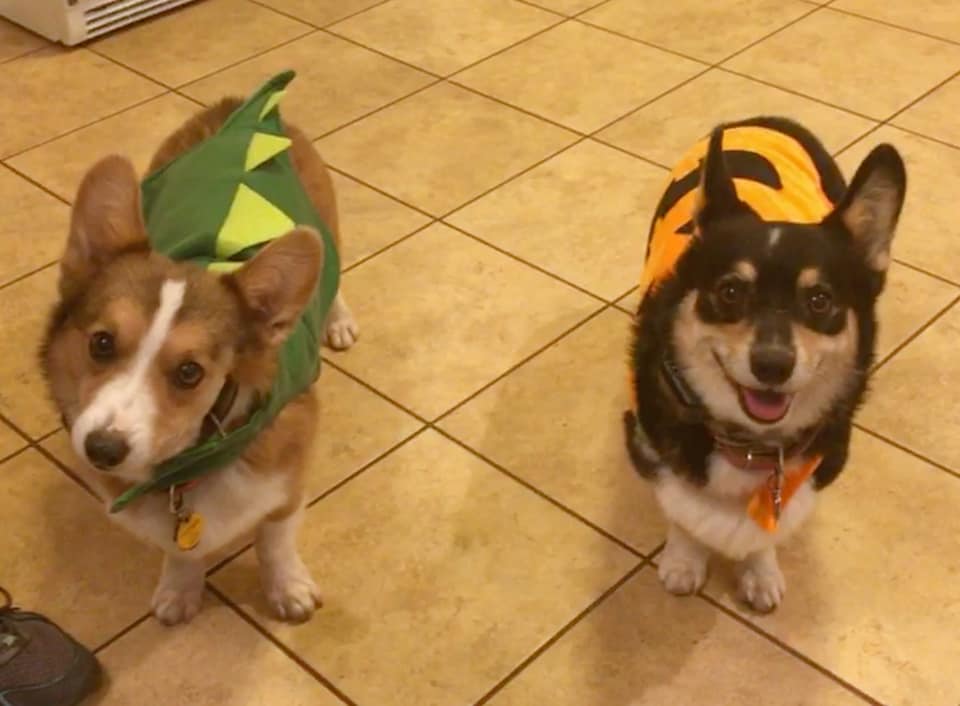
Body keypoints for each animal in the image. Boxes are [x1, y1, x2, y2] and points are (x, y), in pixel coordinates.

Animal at [40, 78, 356, 628]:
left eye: (190, 372)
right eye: (101, 343)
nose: (102, 450)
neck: (189, 462)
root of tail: (243, 108)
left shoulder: (287, 484)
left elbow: (275, 540)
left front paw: (287, 590)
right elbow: (179, 550)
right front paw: (179, 589)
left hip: (328, 233)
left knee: (332, 280)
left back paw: (336, 322)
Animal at [628, 117, 904, 612]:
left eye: (819, 300)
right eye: (730, 291)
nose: (772, 365)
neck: (750, 445)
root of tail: (762, 118)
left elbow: (766, 531)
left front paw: (760, 572)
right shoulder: (650, 443)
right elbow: (682, 510)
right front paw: (683, 561)